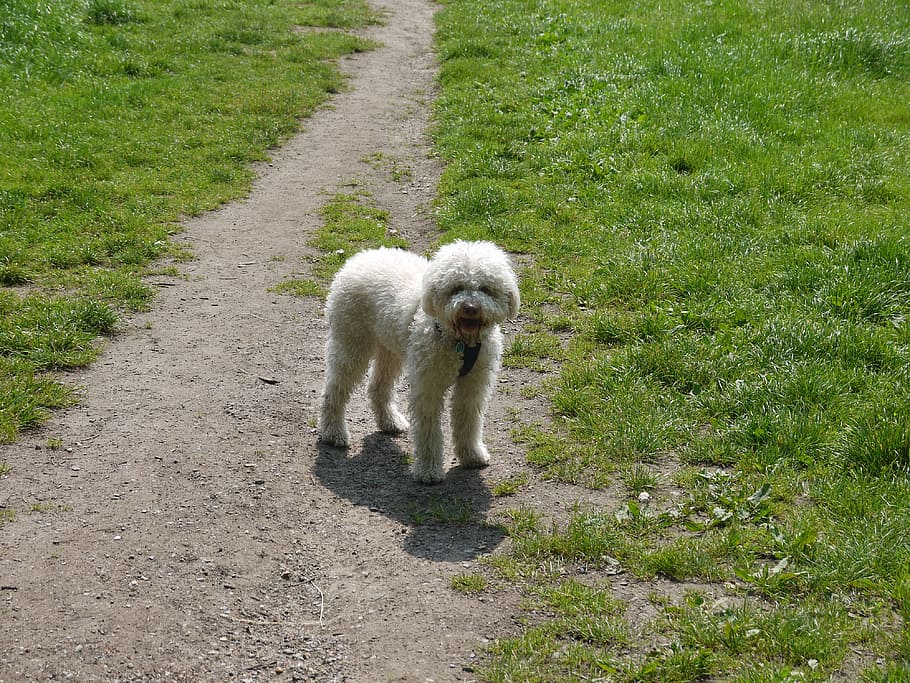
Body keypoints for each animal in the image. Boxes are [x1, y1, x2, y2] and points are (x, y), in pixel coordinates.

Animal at [318, 243, 520, 484]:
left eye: (485, 288)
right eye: (456, 288)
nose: (470, 307)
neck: (460, 343)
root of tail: (358, 258)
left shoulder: (473, 385)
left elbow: (469, 421)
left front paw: (472, 456)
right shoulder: (428, 386)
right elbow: (428, 430)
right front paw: (429, 471)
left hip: (390, 350)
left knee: (378, 387)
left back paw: (390, 422)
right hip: (351, 345)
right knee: (334, 390)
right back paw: (333, 433)